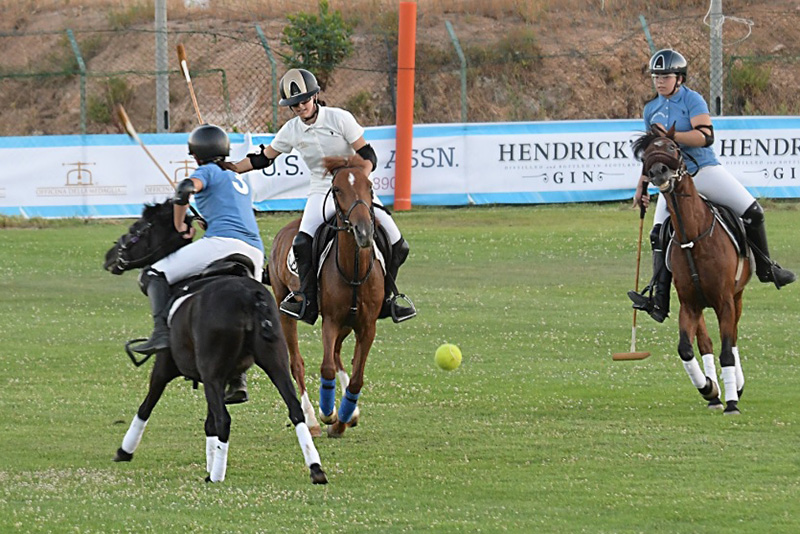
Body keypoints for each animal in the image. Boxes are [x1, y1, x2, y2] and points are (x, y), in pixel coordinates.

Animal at [104, 201, 328, 486]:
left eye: (136, 229)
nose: (109, 257)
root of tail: (250, 297)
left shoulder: (166, 366)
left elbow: (148, 405)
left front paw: (124, 451)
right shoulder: (217, 379)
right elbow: (208, 422)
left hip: (212, 372)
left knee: (225, 420)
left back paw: (217, 477)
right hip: (274, 360)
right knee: (294, 409)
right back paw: (316, 468)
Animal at [268, 153, 382, 438]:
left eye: (369, 186)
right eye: (337, 189)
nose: (364, 231)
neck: (354, 270)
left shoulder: (367, 325)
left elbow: (356, 378)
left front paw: (343, 418)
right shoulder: (330, 320)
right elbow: (326, 367)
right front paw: (328, 413)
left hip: (348, 322)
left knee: (338, 353)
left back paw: (349, 415)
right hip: (284, 308)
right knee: (297, 363)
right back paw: (312, 420)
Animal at [636, 127, 748, 416]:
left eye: (673, 147)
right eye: (647, 152)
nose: (658, 172)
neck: (693, 237)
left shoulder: (724, 300)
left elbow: (727, 349)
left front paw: (732, 402)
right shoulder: (689, 303)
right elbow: (686, 348)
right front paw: (709, 387)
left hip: (737, 296)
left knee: (732, 339)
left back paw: (736, 387)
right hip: (699, 304)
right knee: (705, 342)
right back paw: (715, 395)